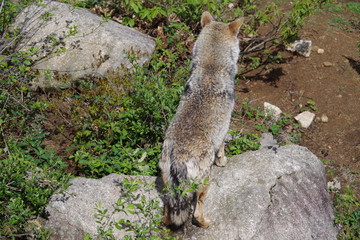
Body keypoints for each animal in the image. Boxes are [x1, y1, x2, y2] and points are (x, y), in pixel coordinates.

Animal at [160, 11, 245, 228]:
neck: (210, 68)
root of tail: (179, 158)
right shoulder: (225, 129)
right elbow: (222, 148)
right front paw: (223, 161)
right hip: (205, 184)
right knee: (196, 212)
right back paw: (207, 223)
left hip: (168, 187)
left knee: (167, 213)